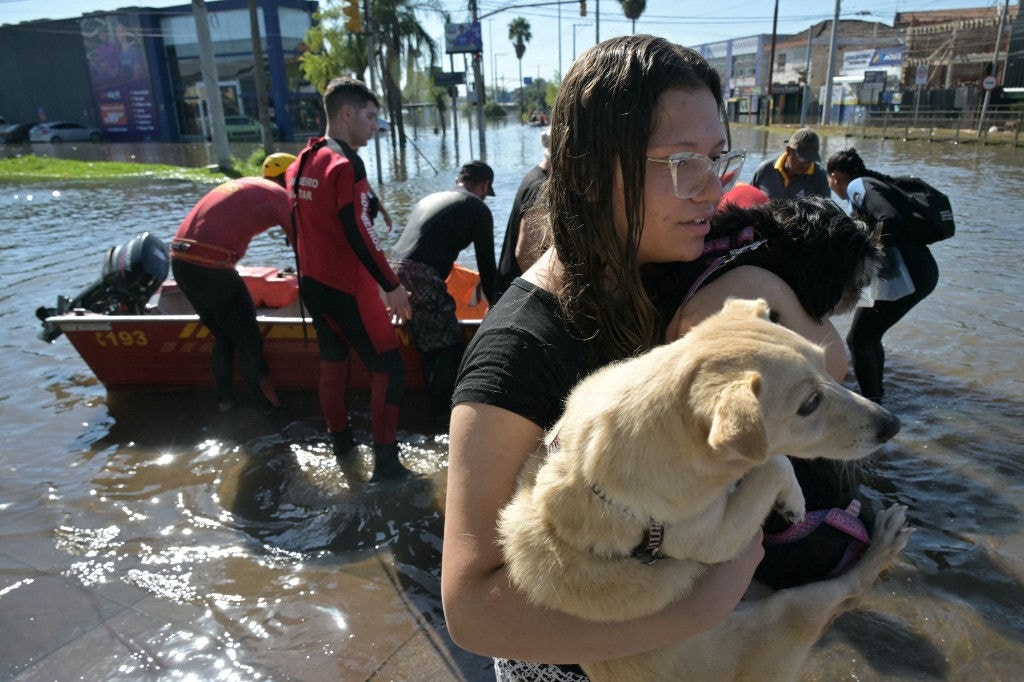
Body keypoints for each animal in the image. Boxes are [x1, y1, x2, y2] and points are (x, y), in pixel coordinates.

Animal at [495, 299, 913, 679]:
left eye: (827, 366)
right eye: (809, 403)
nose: (893, 425)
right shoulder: (717, 539)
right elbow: (774, 462)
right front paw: (792, 499)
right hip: (791, 612)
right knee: (850, 590)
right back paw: (886, 539)